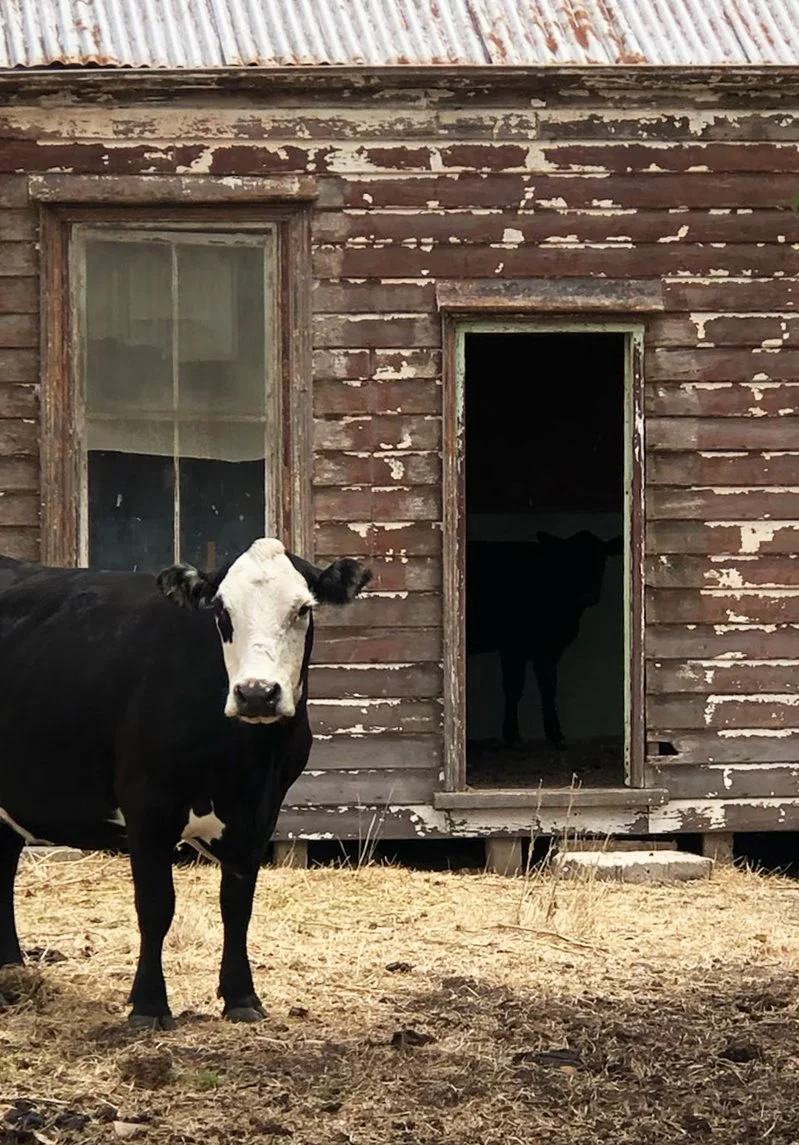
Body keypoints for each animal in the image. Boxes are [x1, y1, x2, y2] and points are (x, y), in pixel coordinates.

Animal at [0, 538, 371, 1029]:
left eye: (303, 609)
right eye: (222, 612)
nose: (257, 693)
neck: (244, 759)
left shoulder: (261, 812)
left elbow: (237, 904)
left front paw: (241, 997)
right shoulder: (146, 805)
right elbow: (156, 906)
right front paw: (148, 1006)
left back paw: (10, 971)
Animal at [466, 531, 623, 748]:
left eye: (602, 560)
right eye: (569, 560)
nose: (587, 595)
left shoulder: (549, 649)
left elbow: (549, 687)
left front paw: (555, 733)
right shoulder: (513, 647)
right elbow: (514, 688)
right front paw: (513, 735)